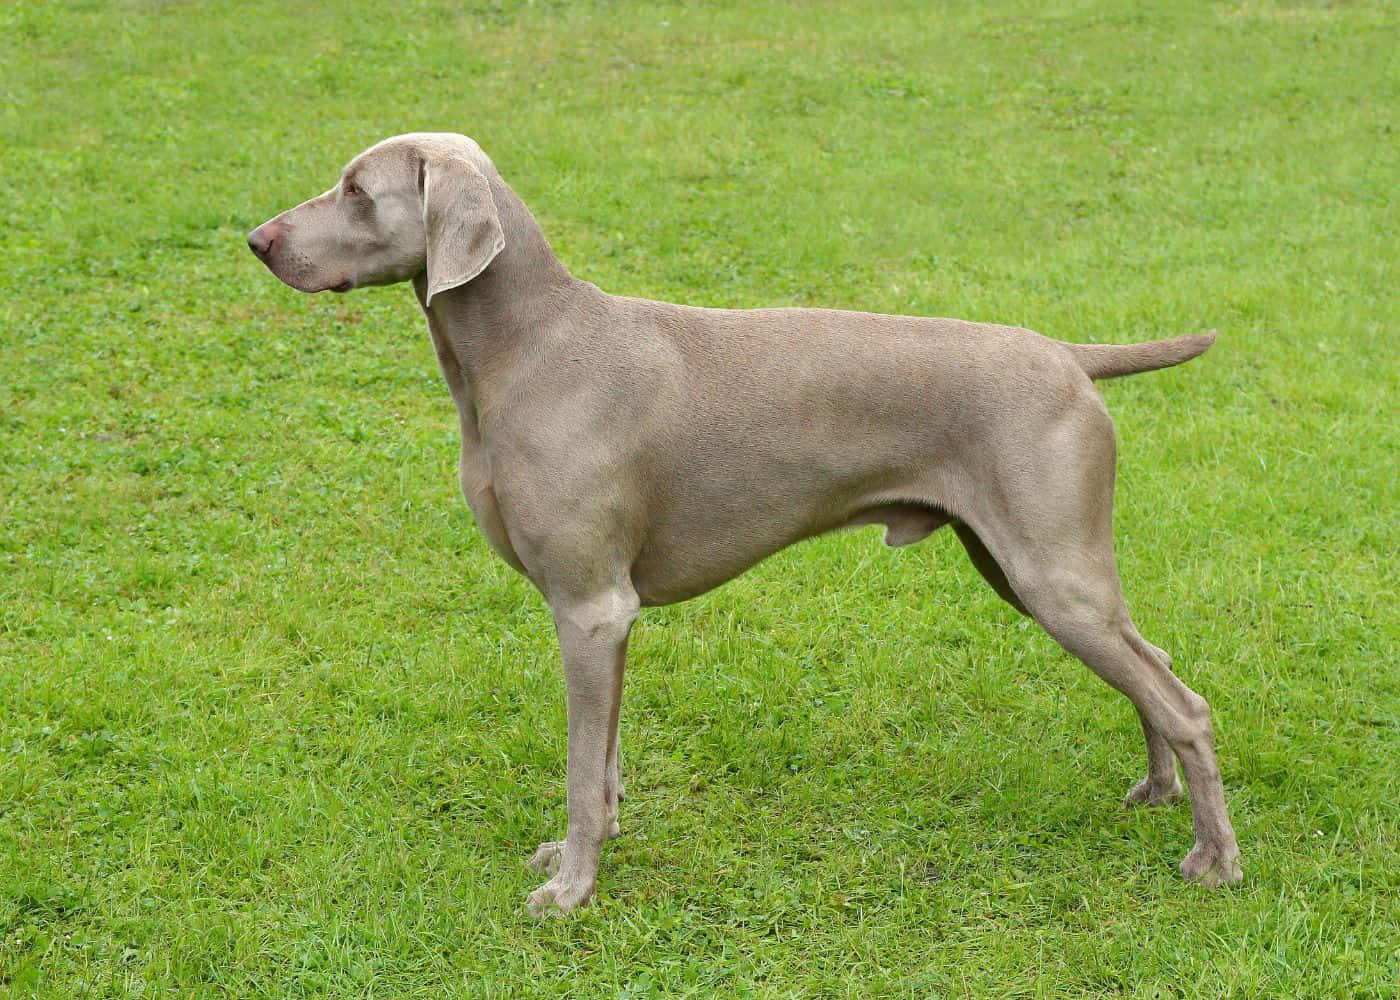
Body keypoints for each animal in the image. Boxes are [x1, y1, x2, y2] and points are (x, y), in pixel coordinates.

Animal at [246, 130, 1243, 913]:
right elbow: (605, 764)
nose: (256, 240)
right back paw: (1157, 790)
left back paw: (1215, 860)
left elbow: (577, 767)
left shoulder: (588, 607)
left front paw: (570, 891)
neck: (530, 349)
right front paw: (582, 857)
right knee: (1153, 665)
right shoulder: (611, 618)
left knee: (1185, 702)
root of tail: (1068, 355)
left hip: (1049, 573)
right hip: (1027, 569)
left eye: (356, 190)